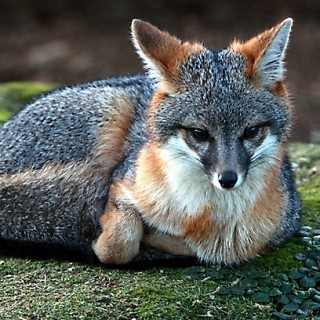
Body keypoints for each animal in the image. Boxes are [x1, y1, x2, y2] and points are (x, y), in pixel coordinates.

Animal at [0, 18, 300, 266]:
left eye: (251, 131)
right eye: (199, 133)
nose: (227, 179)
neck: (205, 216)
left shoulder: (276, 232)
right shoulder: (121, 182)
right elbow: (117, 244)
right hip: (110, 109)